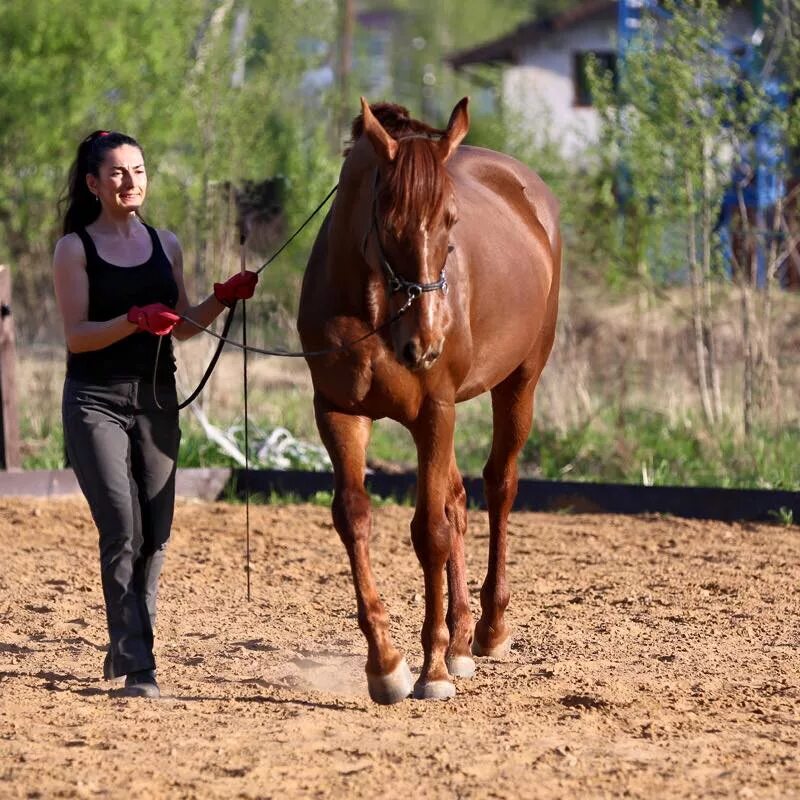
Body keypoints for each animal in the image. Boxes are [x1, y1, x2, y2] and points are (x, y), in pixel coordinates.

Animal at [296, 97, 564, 704]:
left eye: (452, 221)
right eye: (387, 219)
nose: (426, 341)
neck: (376, 312)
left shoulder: (435, 413)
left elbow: (430, 532)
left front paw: (432, 669)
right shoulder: (339, 414)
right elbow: (355, 517)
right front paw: (387, 665)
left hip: (520, 384)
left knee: (499, 486)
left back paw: (488, 630)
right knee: (460, 500)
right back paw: (461, 640)